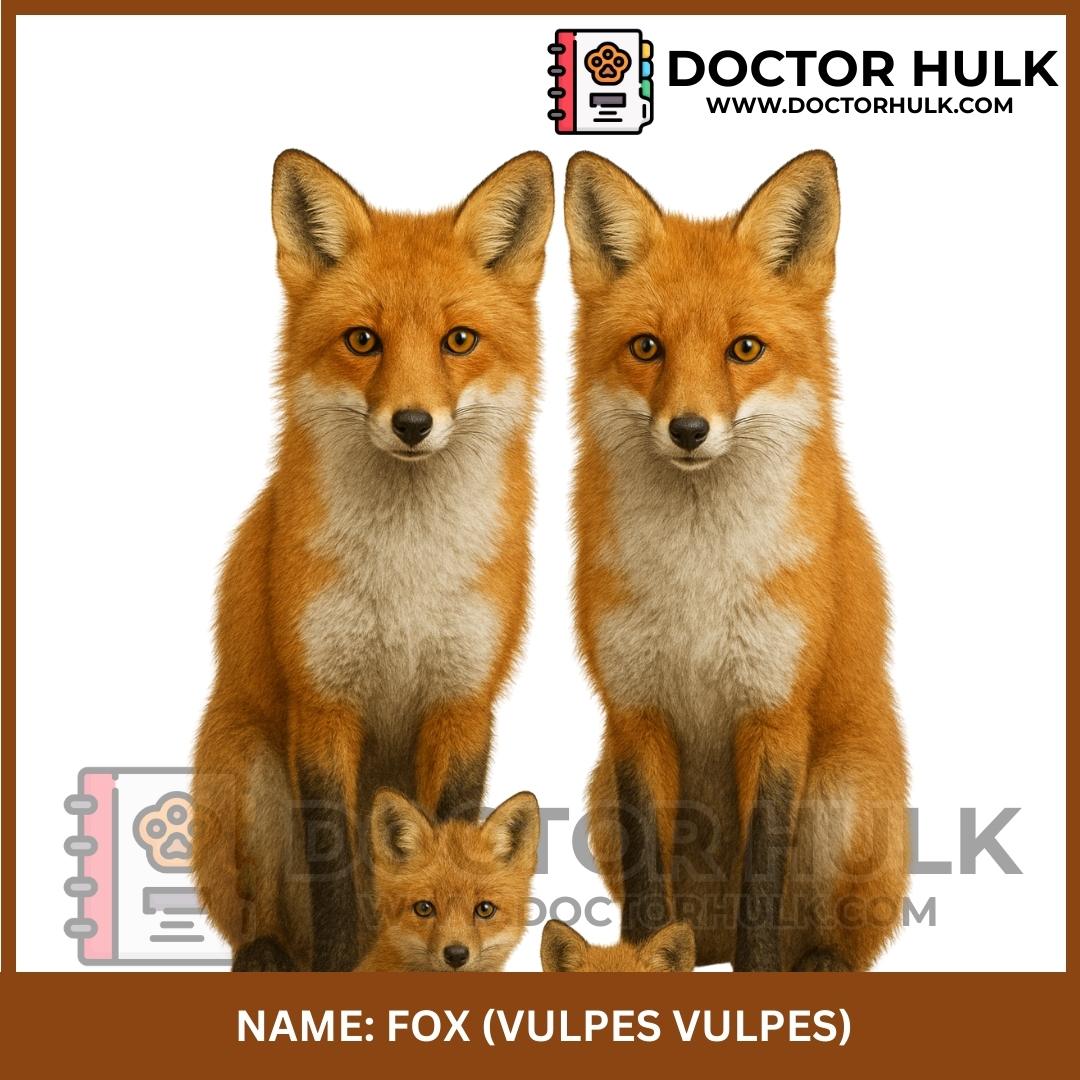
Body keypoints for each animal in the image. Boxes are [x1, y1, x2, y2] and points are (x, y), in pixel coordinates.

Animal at [565, 150, 909, 972]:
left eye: (744, 348)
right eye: (647, 347)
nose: (689, 430)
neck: (698, 577)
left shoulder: (775, 713)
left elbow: (764, 880)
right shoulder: (635, 714)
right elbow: (649, 890)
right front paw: (638, 958)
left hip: (842, 797)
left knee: (837, 935)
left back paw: (816, 962)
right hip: (599, 798)